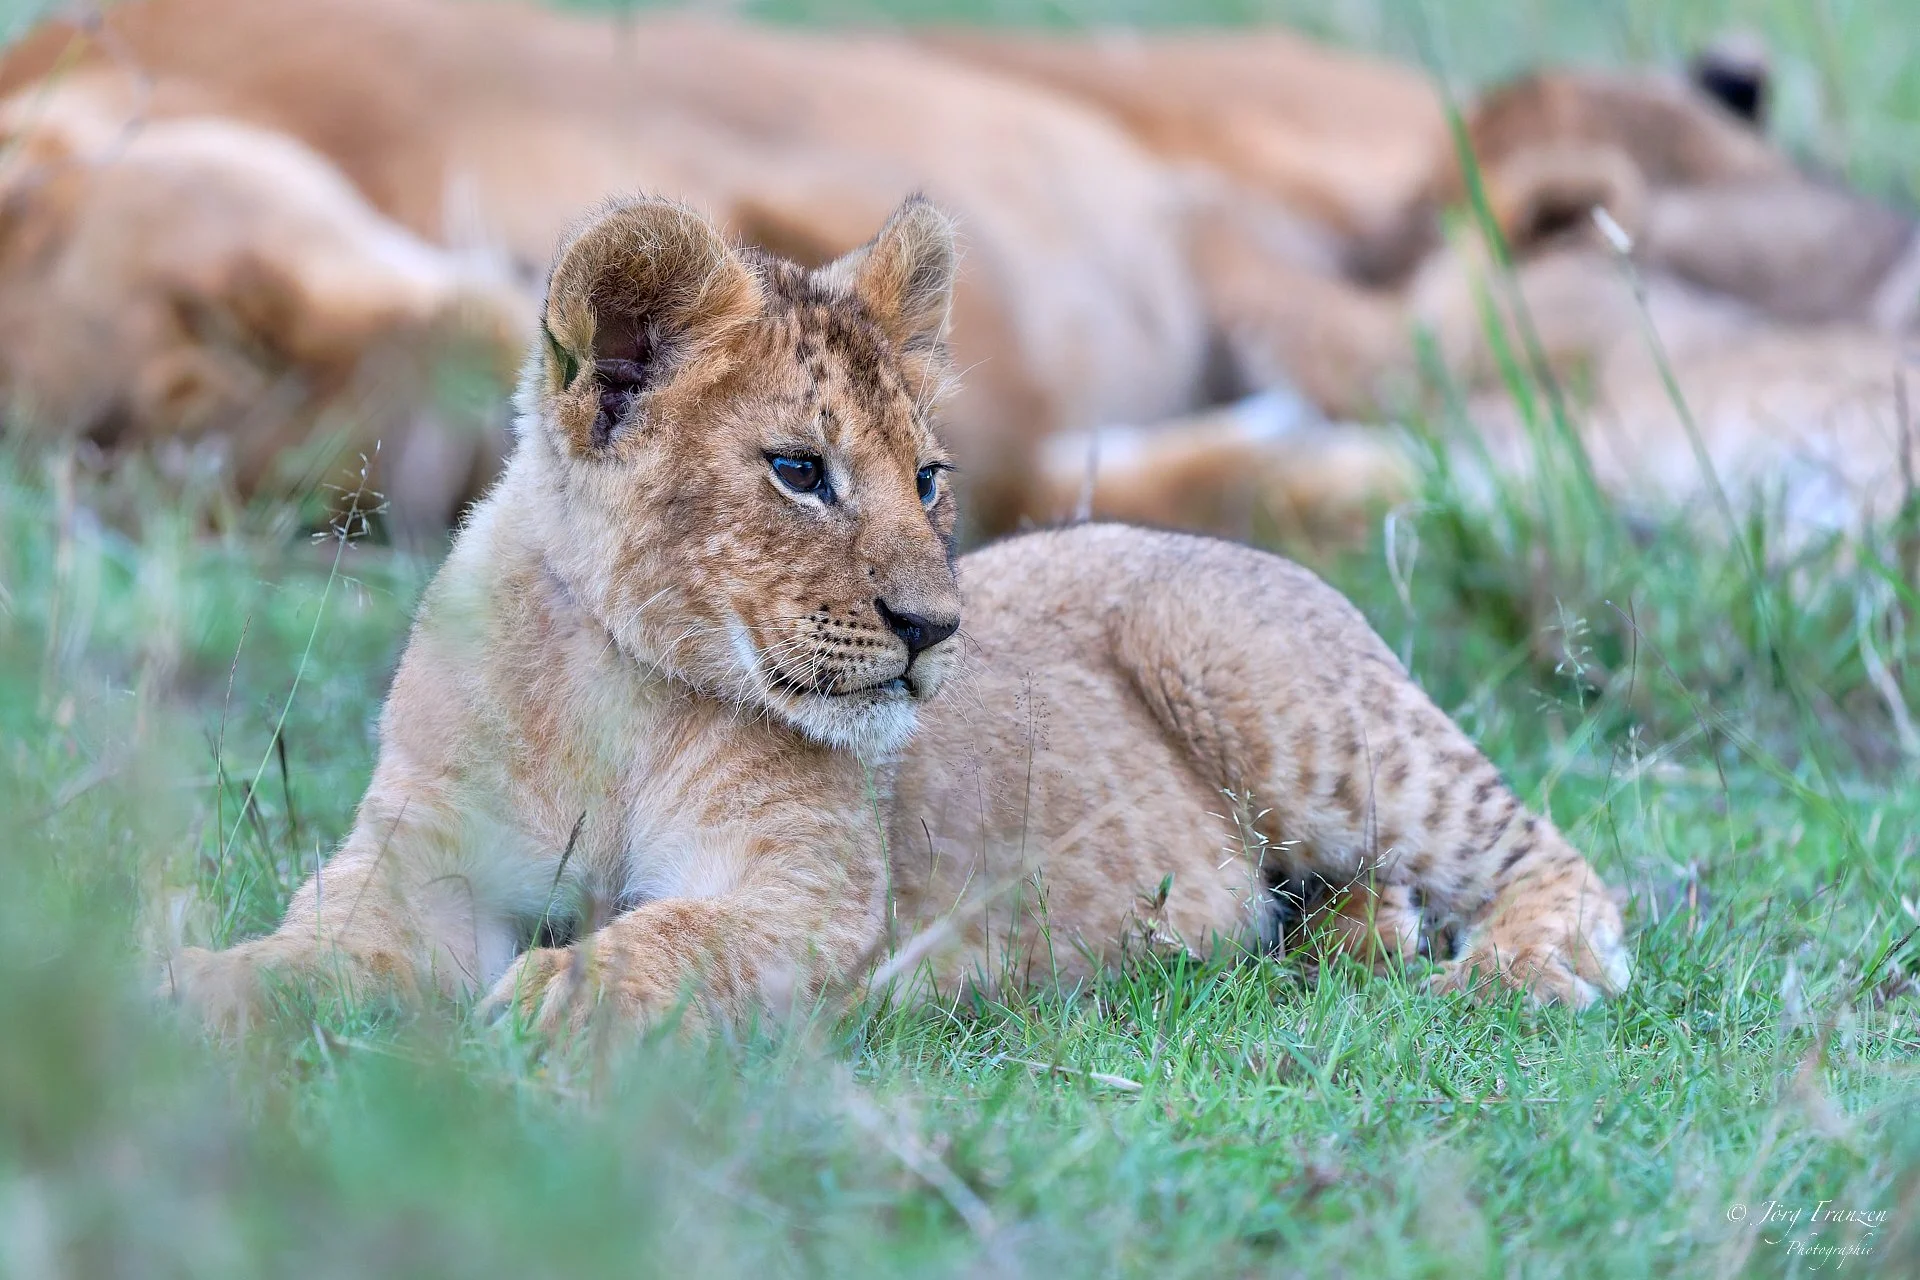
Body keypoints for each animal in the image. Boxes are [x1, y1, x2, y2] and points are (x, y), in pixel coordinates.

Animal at [165, 196, 1631, 1039]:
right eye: (799, 471)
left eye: (927, 479)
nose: (935, 632)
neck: (618, 689)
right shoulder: (418, 871)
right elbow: (320, 944)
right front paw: (205, 987)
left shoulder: (805, 896)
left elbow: (673, 938)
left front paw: (564, 996)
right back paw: (1358, 933)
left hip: (1300, 719)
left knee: (1553, 858)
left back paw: (1513, 969)